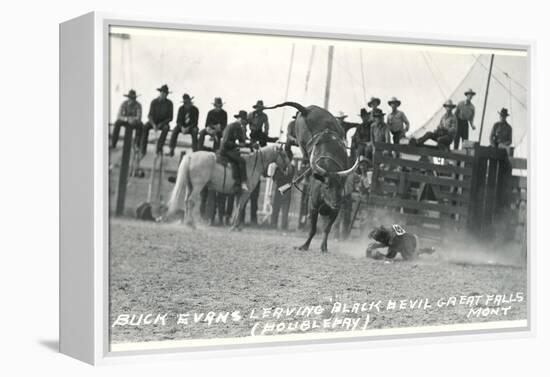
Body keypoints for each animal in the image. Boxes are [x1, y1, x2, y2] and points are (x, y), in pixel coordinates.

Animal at [264, 101, 360, 251]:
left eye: (340, 187)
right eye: (326, 186)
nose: (336, 203)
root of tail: (307, 110)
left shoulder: (335, 212)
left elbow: (327, 229)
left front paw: (324, 247)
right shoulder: (313, 207)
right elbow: (313, 229)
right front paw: (304, 245)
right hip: (300, 137)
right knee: (294, 142)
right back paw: (296, 156)